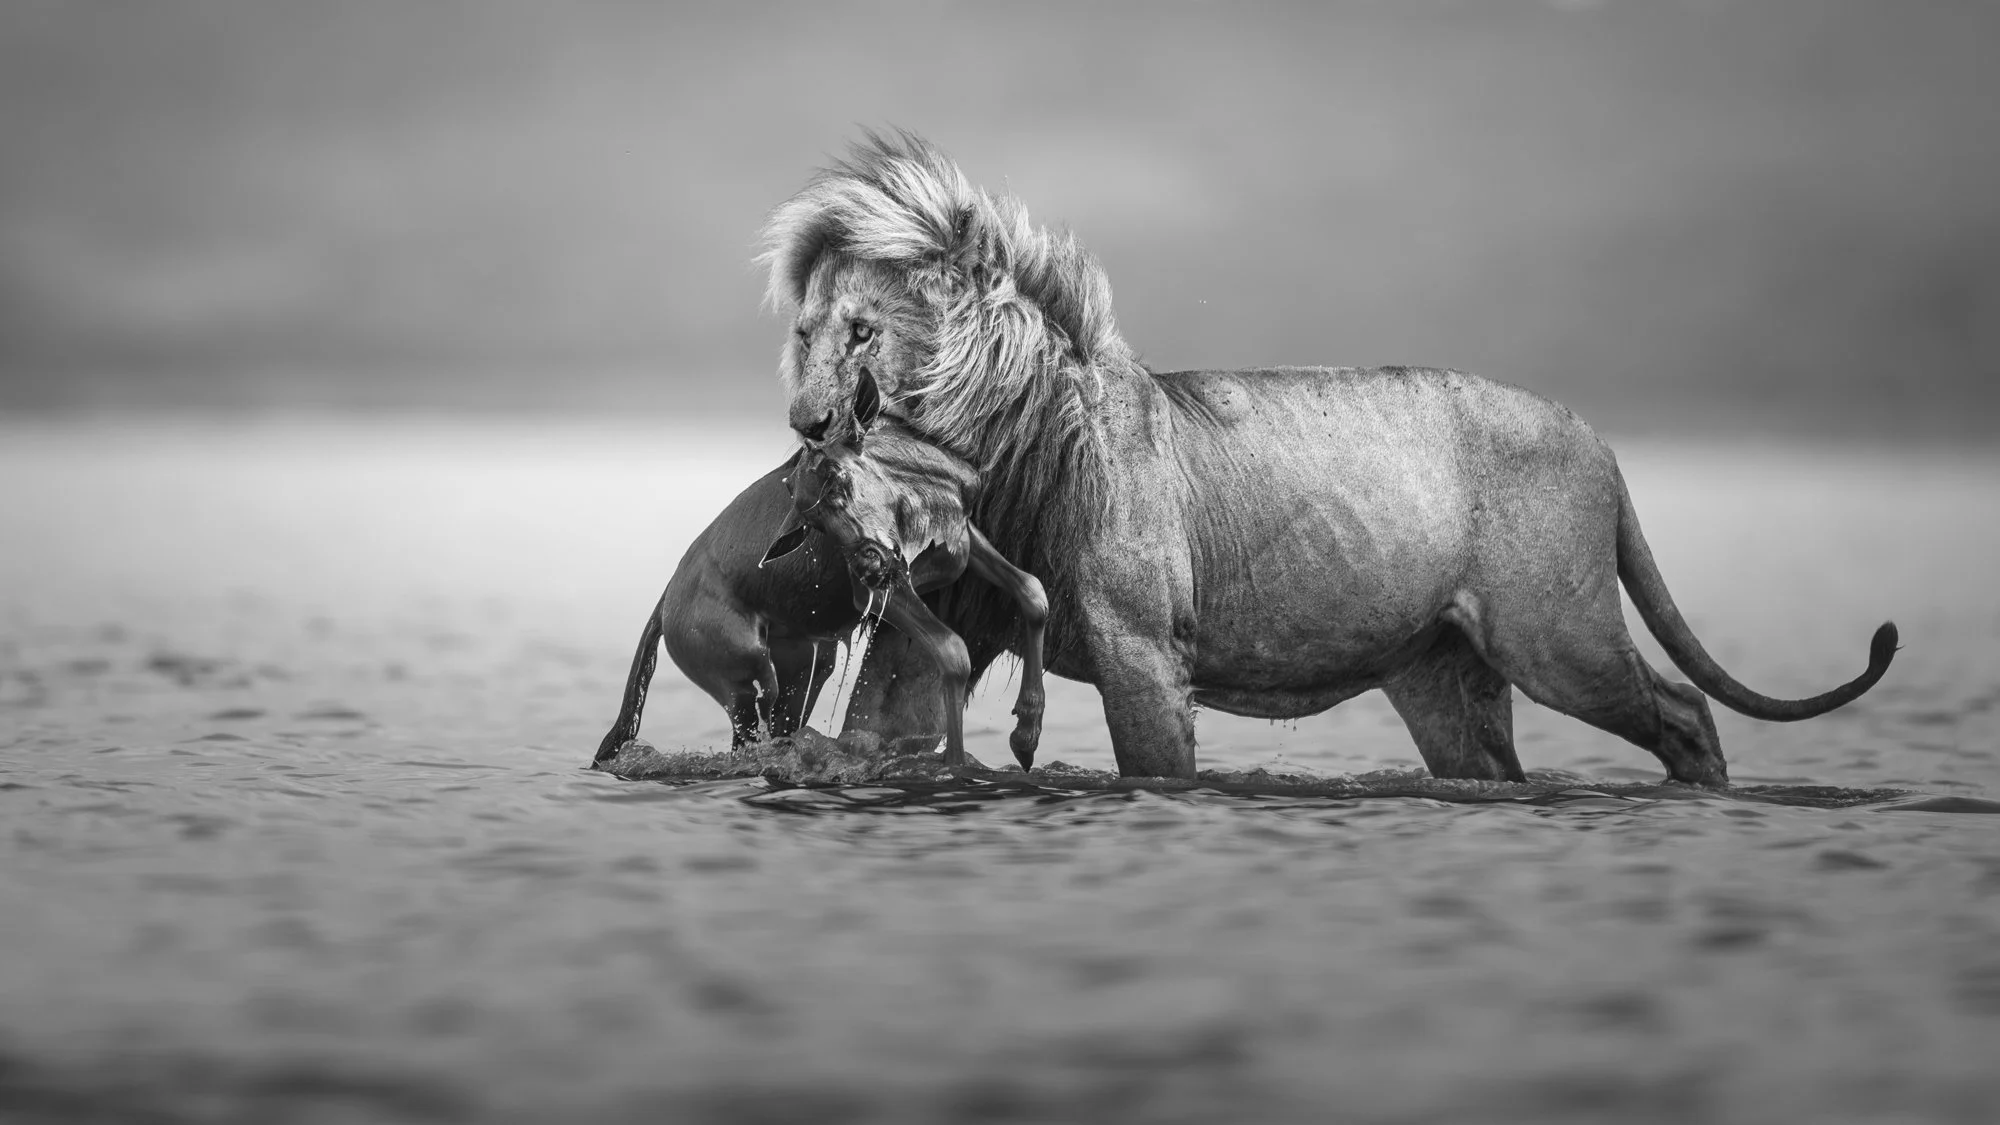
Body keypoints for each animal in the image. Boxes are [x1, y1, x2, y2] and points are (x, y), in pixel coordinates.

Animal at [754, 130, 1897, 786]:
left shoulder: (1142, 647)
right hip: (1446, 677)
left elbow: (1156, 771)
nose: (806, 425)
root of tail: (1602, 444)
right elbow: (877, 727)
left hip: (1555, 634)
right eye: (805, 334)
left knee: (1683, 710)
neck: (996, 447)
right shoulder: (934, 631)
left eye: (863, 332)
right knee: (1498, 765)